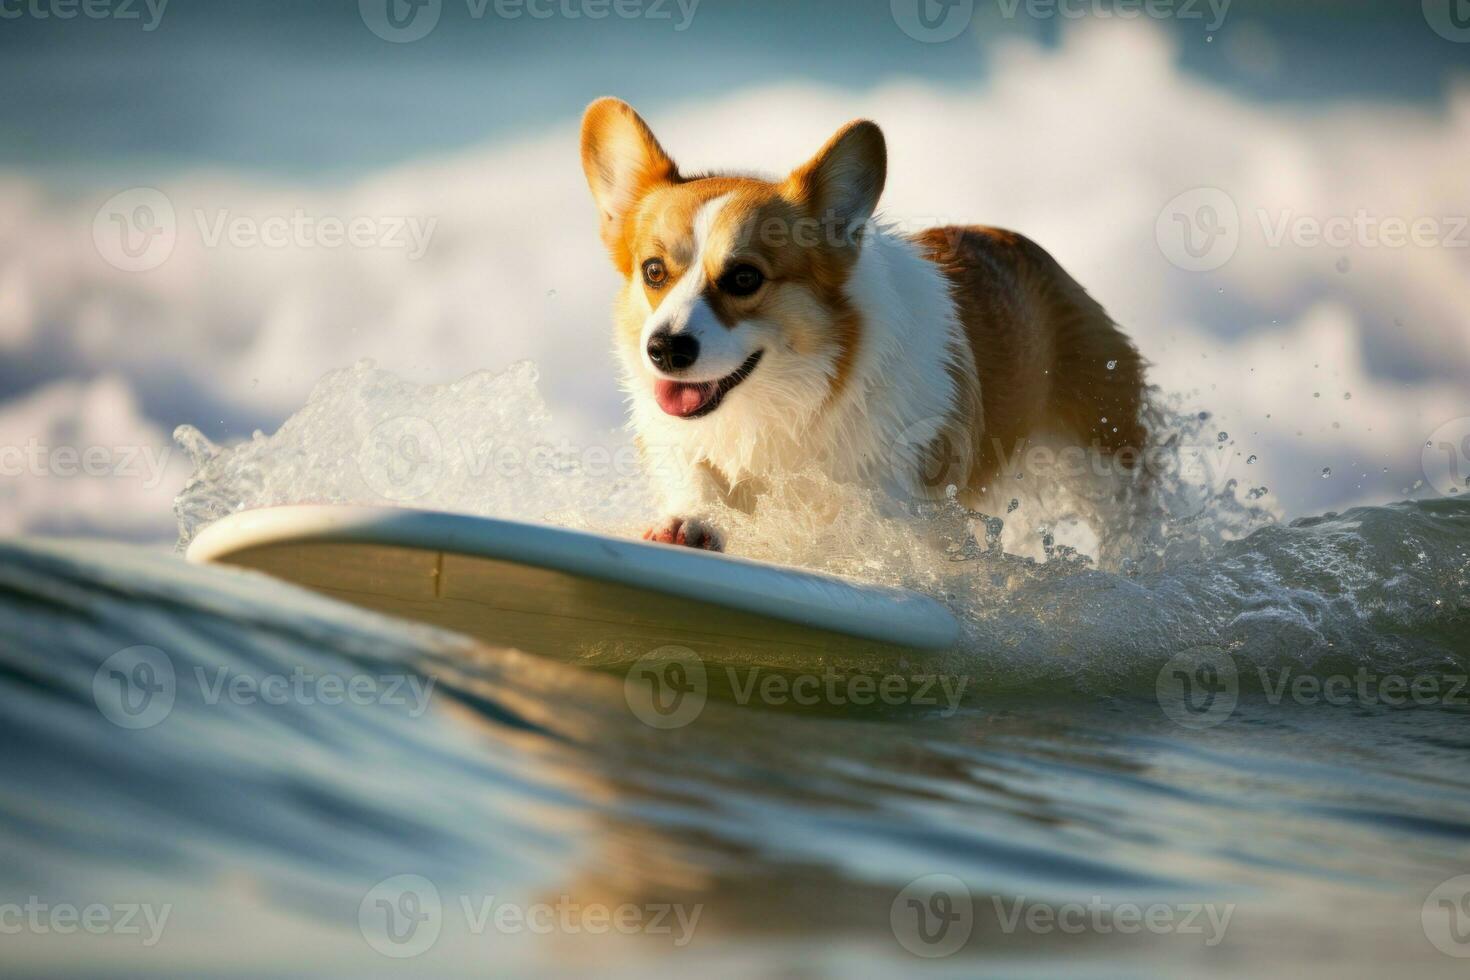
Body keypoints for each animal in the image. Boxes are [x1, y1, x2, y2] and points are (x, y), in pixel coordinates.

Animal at [576, 103, 1146, 555]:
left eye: (744, 278)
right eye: (653, 271)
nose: (664, 350)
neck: (784, 406)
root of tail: (1028, 250)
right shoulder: (680, 440)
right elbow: (696, 475)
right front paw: (691, 521)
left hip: (1105, 457)